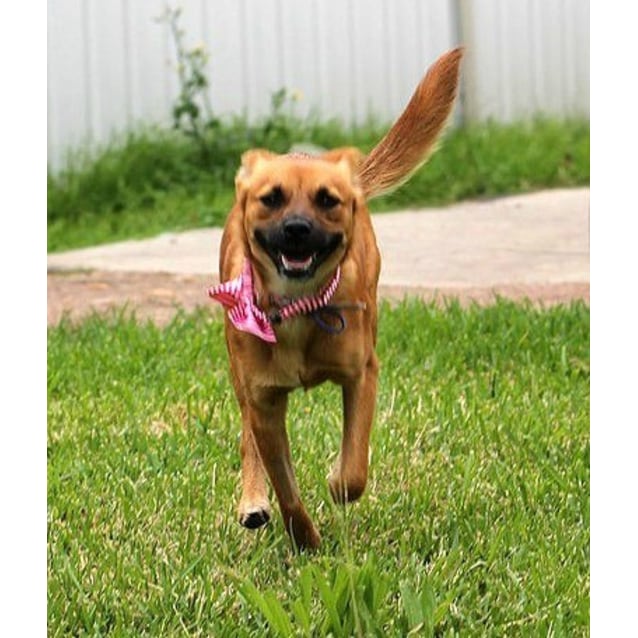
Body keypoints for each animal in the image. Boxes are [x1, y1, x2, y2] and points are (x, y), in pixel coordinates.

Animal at [211, 48, 464, 552]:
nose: (297, 229)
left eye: (327, 200)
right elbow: (285, 487)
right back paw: (253, 500)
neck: (297, 307)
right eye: (271, 198)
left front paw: (336, 485)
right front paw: (305, 540)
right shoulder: (264, 399)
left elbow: (354, 466)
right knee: (247, 437)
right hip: (239, 373)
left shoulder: (361, 373)